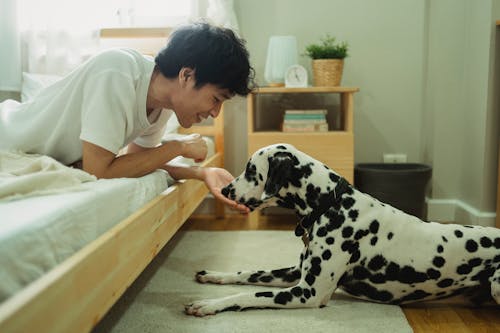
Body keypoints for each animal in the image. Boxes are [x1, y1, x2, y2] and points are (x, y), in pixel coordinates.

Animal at [186, 143, 500, 316]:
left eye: (251, 170)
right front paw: (215, 275)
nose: (225, 189)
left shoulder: (307, 292)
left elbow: (247, 296)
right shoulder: (296, 273)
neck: (331, 204)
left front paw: (208, 304)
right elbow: (248, 273)